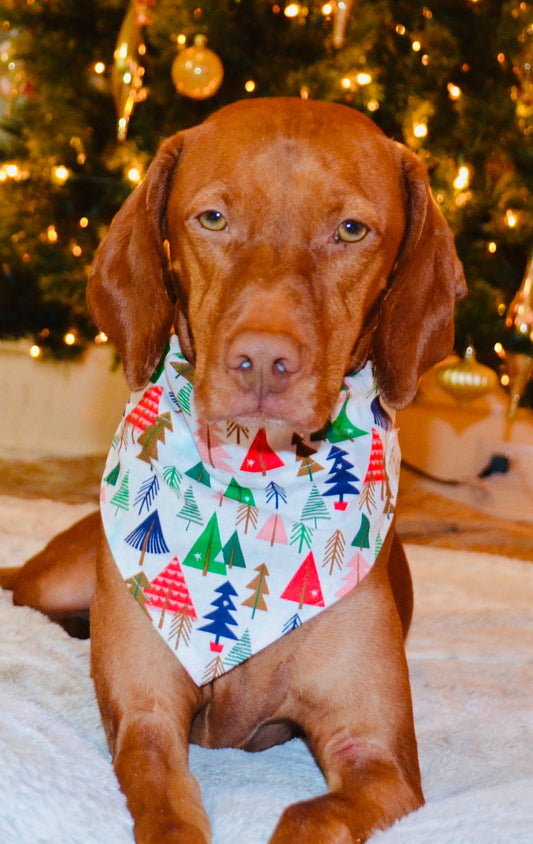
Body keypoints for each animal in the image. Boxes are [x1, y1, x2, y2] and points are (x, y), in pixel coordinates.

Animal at [8, 97, 466, 836]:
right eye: (213, 218)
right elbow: (166, 814)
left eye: (350, 230)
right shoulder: (148, 722)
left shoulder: (377, 758)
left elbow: (309, 818)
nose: (263, 361)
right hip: (54, 582)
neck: (255, 477)